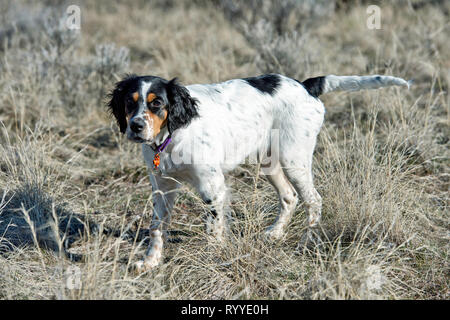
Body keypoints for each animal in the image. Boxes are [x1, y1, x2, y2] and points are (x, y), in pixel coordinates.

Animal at [107, 73, 410, 272]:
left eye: (157, 103)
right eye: (129, 103)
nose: (135, 126)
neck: (173, 135)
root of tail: (305, 86)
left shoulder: (212, 186)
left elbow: (214, 228)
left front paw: (212, 258)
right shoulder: (162, 187)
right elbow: (156, 228)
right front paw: (150, 262)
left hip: (294, 159)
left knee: (313, 200)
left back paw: (306, 242)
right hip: (269, 162)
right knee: (290, 197)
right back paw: (275, 234)